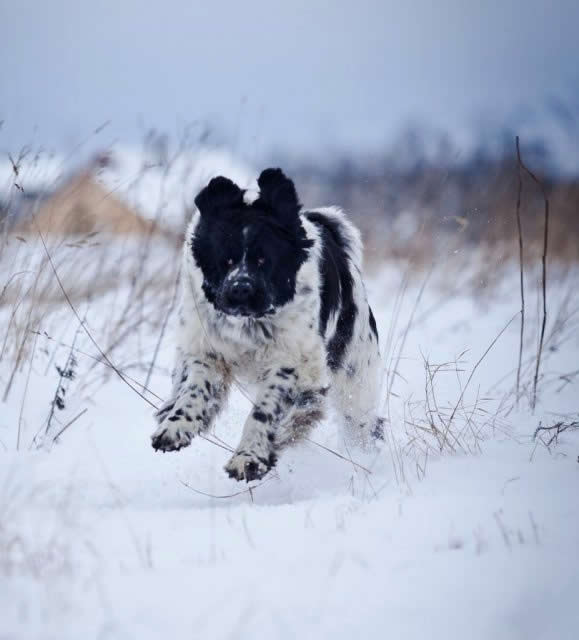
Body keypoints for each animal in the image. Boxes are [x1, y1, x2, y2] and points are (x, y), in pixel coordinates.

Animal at [152, 169, 382, 480]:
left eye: (263, 259)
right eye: (225, 260)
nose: (240, 289)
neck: (250, 322)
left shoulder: (294, 361)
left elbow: (266, 409)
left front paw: (249, 458)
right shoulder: (205, 348)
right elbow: (194, 389)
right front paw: (175, 426)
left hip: (355, 380)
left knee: (362, 424)